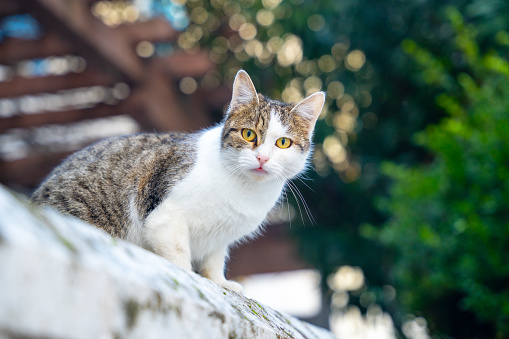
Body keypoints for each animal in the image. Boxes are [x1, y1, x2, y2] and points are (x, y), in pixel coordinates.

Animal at [30, 70, 326, 294]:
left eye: (283, 143)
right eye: (248, 134)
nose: (262, 158)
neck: (244, 188)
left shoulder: (219, 238)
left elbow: (214, 260)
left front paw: (219, 282)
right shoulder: (164, 217)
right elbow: (179, 252)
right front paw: (187, 276)